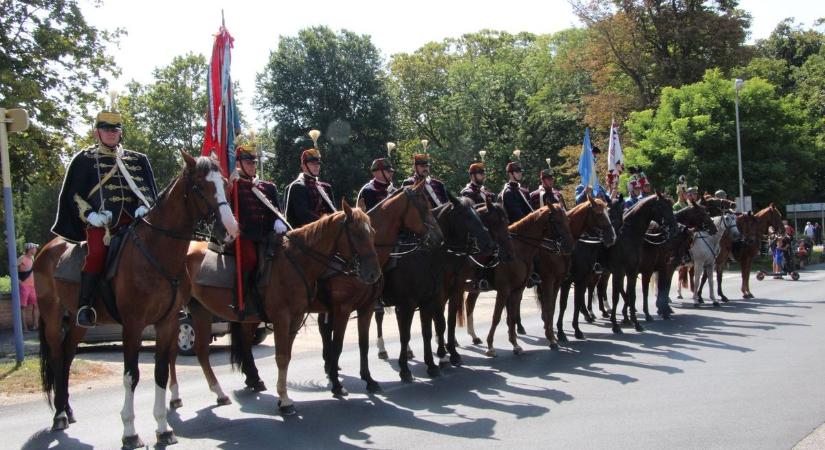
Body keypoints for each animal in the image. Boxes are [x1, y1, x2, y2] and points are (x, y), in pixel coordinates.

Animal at [35, 153, 235, 448]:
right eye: (200, 185)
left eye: (223, 182)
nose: (230, 229)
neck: (156, 251)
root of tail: (49, 247)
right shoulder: (133, 325)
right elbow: (132, 375)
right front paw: (130, 431)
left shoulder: (167, 322)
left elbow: (161, 371)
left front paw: (163, 428)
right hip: (51, 315)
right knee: (59, 355)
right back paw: (59, 415)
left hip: (79, 320)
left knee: (69, 354)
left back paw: (67, 410)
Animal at [179, 200, 378, 414]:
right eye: (356, 234)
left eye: (372, 232)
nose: (373, 274)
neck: (297, 262)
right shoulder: (286, 317)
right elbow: (283, 356)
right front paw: (285, 400)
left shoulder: (296, 318)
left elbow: (287, 355)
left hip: (202, 311)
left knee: (203, 351)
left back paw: (223, 392)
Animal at [382, 195, 492, 382]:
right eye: (464, 215)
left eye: (477, 214)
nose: (488, 243)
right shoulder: (409, 304)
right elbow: (409, 334)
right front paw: (406, 369)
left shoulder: (436, 298)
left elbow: (436, 327)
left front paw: (437, 361)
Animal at [464, 206, 572, 356]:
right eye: (557, 221)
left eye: (567, 220)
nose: (569, 246)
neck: (519, 251)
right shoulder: (505, 290)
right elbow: (497, 316)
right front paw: (490, 346)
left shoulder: (518, 289)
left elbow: (512, 316)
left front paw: (515, 345)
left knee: (469, 304)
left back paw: (473, 337)